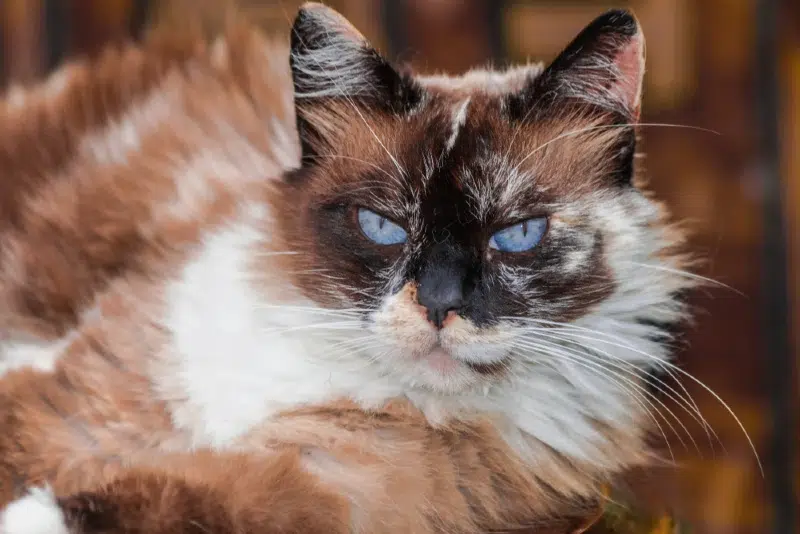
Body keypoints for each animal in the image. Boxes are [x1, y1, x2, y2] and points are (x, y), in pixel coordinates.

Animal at [0, 4, 692, 534]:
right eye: (382, 227)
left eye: (517, 235)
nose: (440, 303)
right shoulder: (92, 396)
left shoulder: (336, 485)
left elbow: (170, 499)